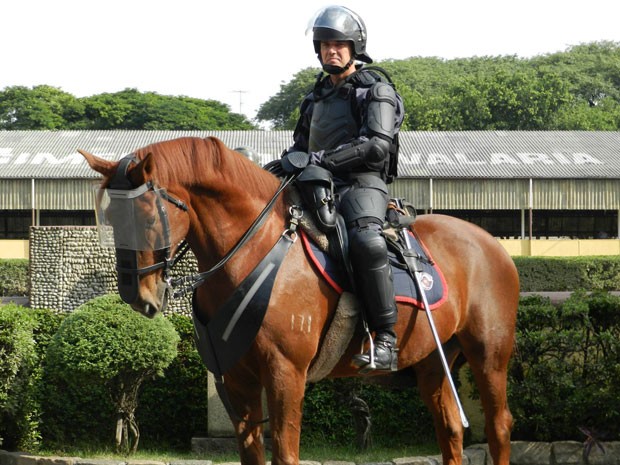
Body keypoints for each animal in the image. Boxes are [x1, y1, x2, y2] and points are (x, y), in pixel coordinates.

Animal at [81, 136, 520, 464]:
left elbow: (285, 454)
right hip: (432, 361)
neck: (253, 250)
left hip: (488, 353)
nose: (138, 297)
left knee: (498, 426)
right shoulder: (237, 380)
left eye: (147, 219)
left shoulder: (285, 374)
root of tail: (491, 243)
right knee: (449, 429)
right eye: (110, 221)